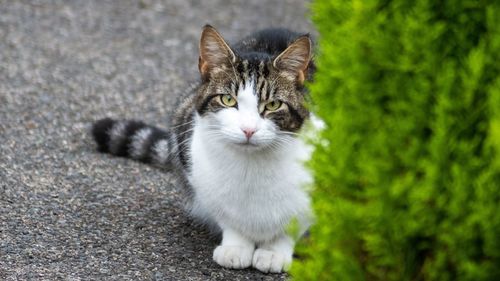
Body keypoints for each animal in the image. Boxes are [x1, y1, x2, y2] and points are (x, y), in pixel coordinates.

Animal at [91, 25, 312, 272]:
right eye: (228, 100)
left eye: (273, 105)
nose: (248, 130)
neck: (251, 167)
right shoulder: (198, 173)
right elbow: (228, 216)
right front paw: (236, 246)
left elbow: (292, 225)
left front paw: (274, 251)